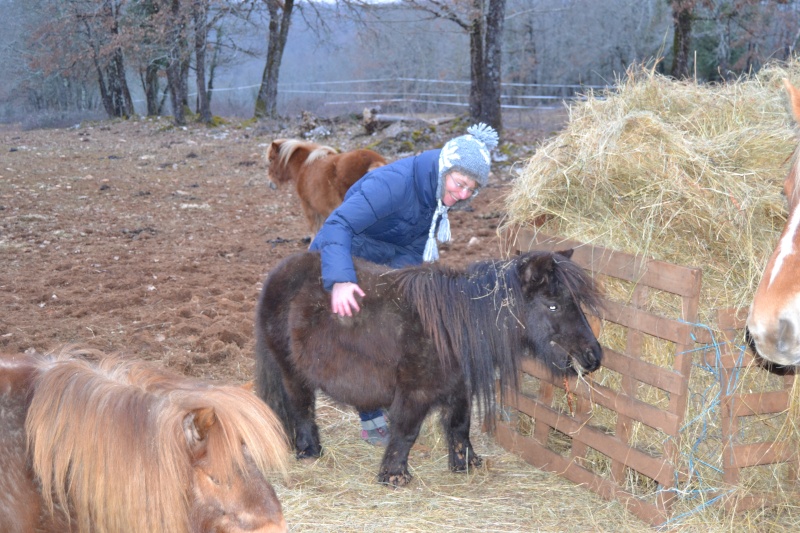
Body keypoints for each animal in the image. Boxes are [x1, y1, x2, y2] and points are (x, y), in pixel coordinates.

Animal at [253, 249, 604, 486]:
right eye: (553, 305)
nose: (593, 357)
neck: (454, 328)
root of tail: (277, 275)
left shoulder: (459, 389)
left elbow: (459, 427)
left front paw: (466, 465)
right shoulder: (416, 393)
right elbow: (407, 432)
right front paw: (394, 476)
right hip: (292, 373)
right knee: (301, 409)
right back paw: (310, 452)